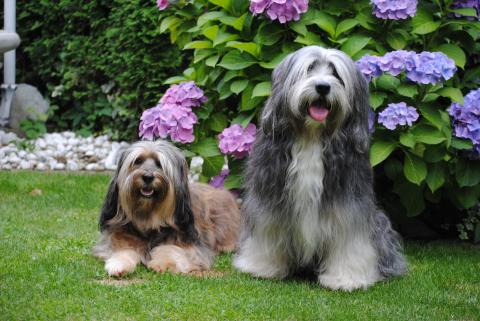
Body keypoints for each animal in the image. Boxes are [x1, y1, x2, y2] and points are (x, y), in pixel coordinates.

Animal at [234, 45, 406, 290]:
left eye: (336, 74)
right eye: (310, 69)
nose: (323, 87)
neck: (312, 136)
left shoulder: (348, 204)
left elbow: (349, 239)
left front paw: (346, 278)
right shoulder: (269, 200)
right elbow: (268, 228)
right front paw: (262, 266)